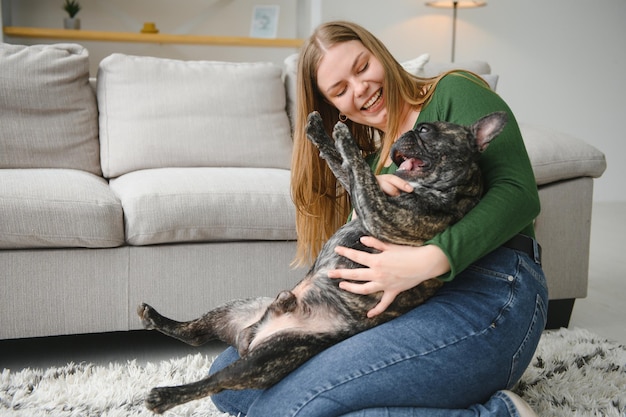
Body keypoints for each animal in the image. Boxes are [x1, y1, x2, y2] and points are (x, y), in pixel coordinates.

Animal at [138, 110, 508, 412]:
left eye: (427, 131)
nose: (408, 132)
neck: (456, 190)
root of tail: (251, 335)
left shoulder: (380, 213)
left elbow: (357, 166)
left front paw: (345, 136)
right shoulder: (364, 192)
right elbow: (341, 165)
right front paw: (320, 131)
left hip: (271, 356)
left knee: (216, 380)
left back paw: (164, 396)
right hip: (235, 309)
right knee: (194, 334)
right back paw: (155, 317)